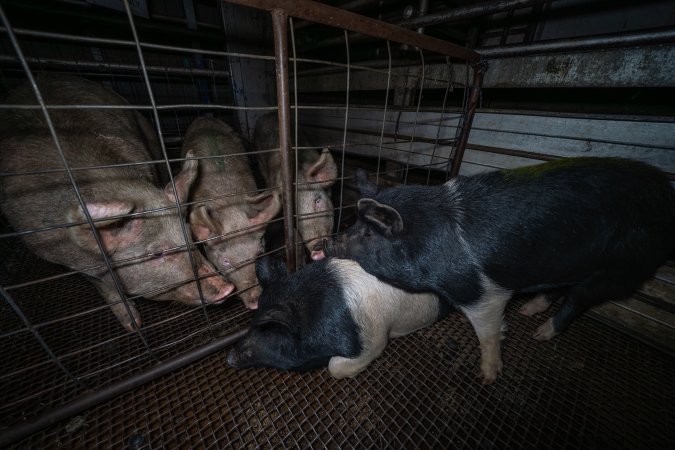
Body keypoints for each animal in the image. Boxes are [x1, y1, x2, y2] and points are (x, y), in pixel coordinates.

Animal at [316, 157, 675, 384]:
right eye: (354, 223)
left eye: (368, 234)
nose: (326, 243)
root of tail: (664, 195)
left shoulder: (483, 292)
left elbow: (488, 331)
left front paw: (488, 377)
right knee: (559, 288)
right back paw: (530, 312)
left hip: (625, 267)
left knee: (578, 298)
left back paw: (540, 334)